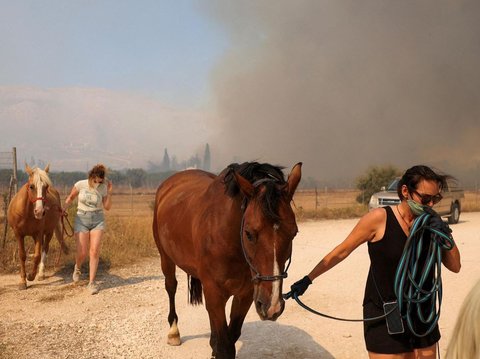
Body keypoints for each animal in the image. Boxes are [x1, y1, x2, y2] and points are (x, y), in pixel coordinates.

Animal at [153, 162, 300, 359]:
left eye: (294, 233)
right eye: (249, 233)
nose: (272, 306)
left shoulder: (245, 295)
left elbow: (231, 335)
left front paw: (214, 346)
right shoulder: (215, 294)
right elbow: (225, 347)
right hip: (166, 258)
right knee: (171, 286)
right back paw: (173, 332)